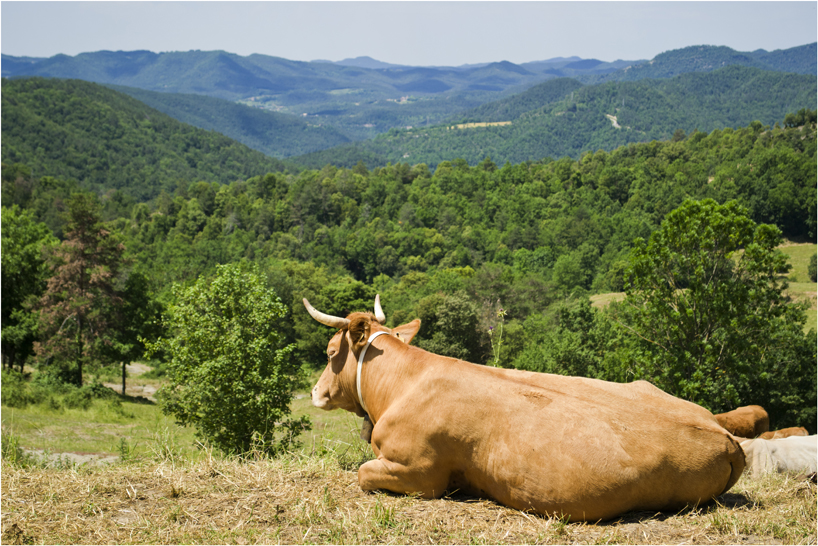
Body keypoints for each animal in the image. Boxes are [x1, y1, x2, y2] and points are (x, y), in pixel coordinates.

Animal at [302, 300, 744, 520]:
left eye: (329, 352)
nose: (315, 391)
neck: (403, 385)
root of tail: (724, 434)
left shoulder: (420, 472)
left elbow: (363, 473)